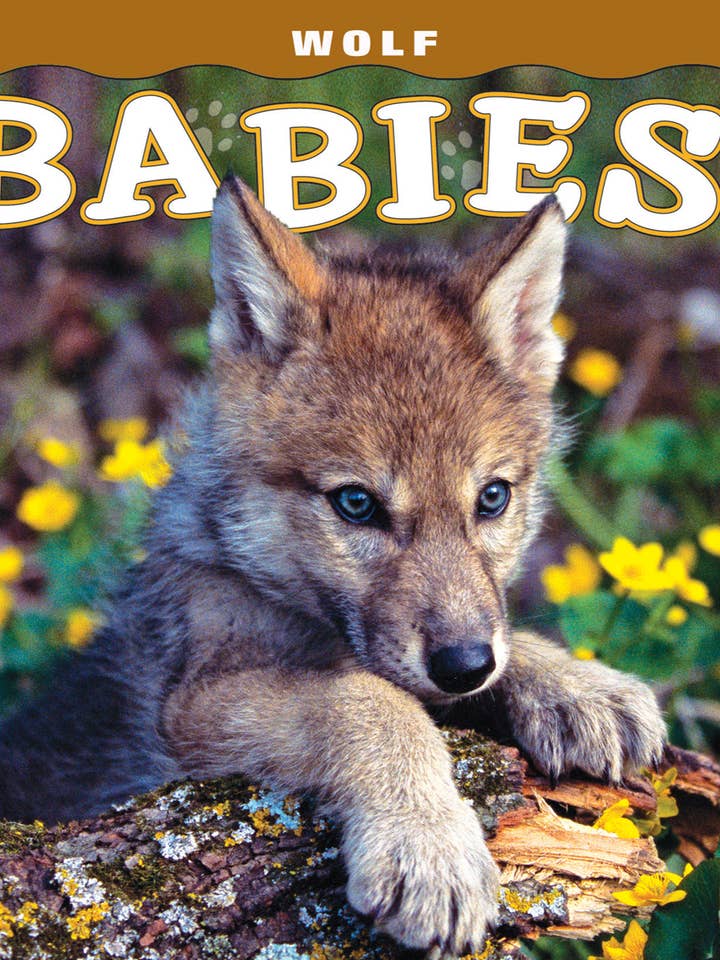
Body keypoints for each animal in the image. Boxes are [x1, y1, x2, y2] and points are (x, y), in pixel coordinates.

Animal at [0, 176, 665, 956]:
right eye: (356, 504)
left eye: (492, 498)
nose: (464, 668)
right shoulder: (191, 709)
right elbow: (367, 699)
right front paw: (428, 848)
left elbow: (484, 642)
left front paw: (575, 683)